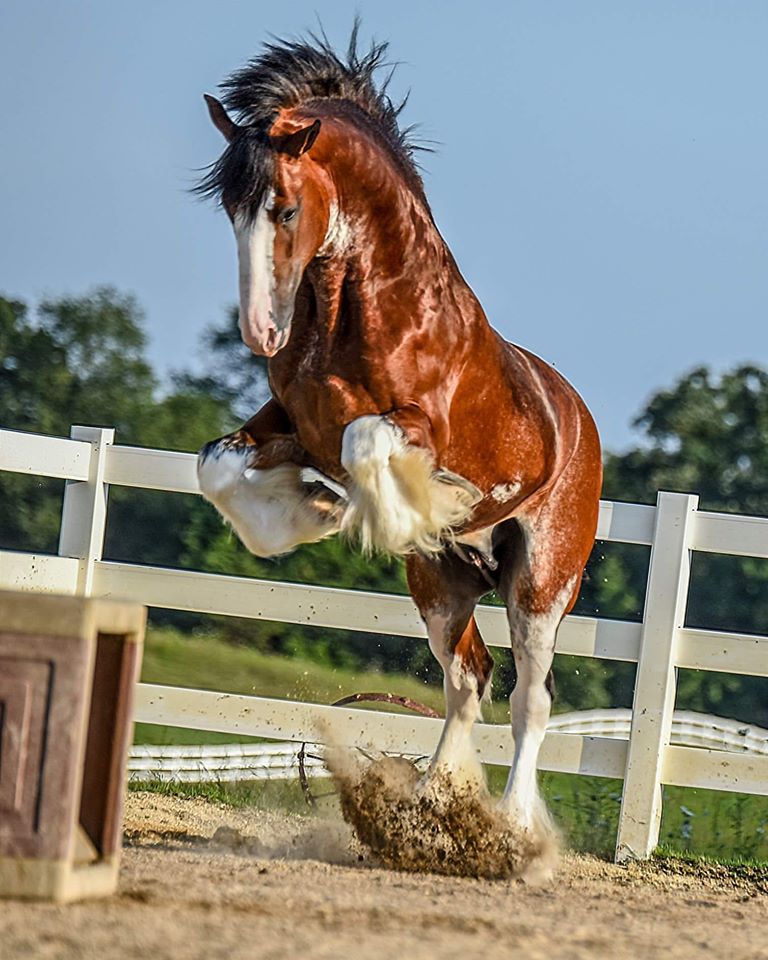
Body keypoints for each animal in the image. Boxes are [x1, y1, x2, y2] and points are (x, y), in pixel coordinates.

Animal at [195, 31, 604, 840]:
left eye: (285, 209)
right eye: (229, 209)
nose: (259, 332)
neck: (369, 308)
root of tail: (581, 422)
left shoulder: (409, 429)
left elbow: (366, 443)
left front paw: (399, 507)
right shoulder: (290, 424)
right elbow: (217, 466)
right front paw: (308, 513)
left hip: (541, 586)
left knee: (529, 699)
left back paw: (511, 825)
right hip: (441, 585)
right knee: (468, 682)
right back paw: (433, 804)